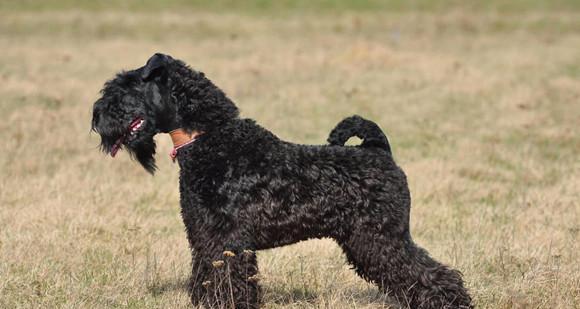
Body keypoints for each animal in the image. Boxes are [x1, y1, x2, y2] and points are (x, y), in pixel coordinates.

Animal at [90, 53, 472, 308]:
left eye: (125, 88)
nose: (96, 117)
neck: (210, 140)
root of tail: (380, 151)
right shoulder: (204, 238)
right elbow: (206, 278)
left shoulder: (227, 240)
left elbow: (229, 282)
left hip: (381, 238)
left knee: (430, 273)